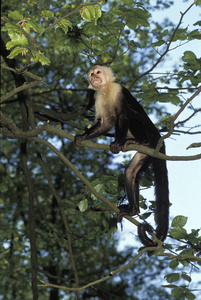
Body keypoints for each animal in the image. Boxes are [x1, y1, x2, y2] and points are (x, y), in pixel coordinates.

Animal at [74, 65, 169, 246]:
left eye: (98, 72)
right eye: (91, 74)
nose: (94, 77)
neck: (105, 89)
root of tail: (157, 138)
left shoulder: (117, 89)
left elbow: (123, 115)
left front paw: (117, 142)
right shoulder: (98, 98)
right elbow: (105, 123)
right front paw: (82, 136)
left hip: (151, 136)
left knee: (130, 114)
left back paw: (141, 140)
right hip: (145, 154)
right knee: (130, 173)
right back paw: (133, 210)